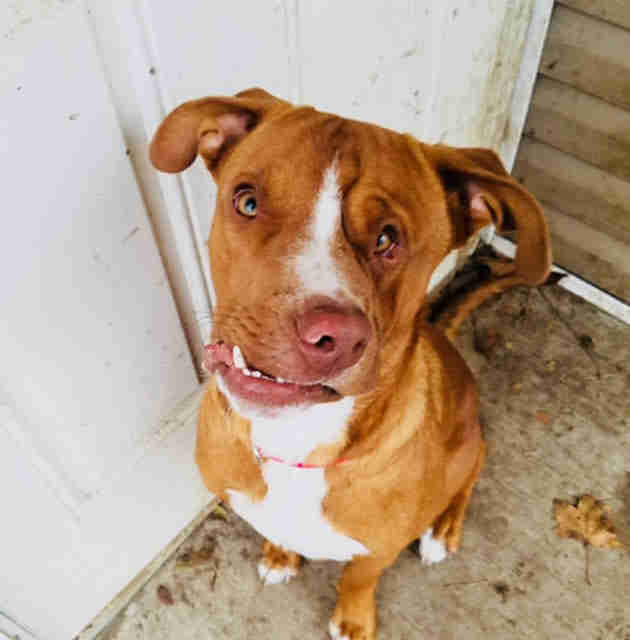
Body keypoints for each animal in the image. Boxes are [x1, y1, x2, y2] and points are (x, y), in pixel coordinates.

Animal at [151, 90, 552, 640]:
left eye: (389, 238)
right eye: (247, 201)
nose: (330, 335)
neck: (296, 445)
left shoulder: (378, 549)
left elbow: (359, 579)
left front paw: (353, 619)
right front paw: (281, 553)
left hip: (470, 445)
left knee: (469, 476)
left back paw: (443, 528)